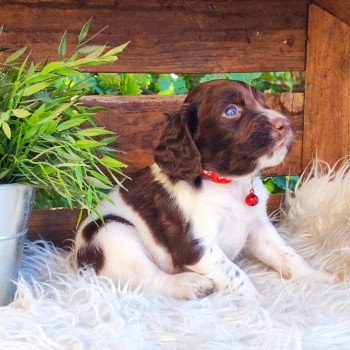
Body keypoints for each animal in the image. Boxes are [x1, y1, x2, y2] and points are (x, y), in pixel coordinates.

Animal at [74, 80, 330, 300]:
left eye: (263, 102)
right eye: (231, 111)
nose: (284, 124)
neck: (228, 184)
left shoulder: (258, 227)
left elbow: (288, 254)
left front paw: (319, 279)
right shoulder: (196, 246)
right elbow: (236, 274)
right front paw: (260, 306)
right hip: (110, 232)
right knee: (151, 280)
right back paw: (192, 284)